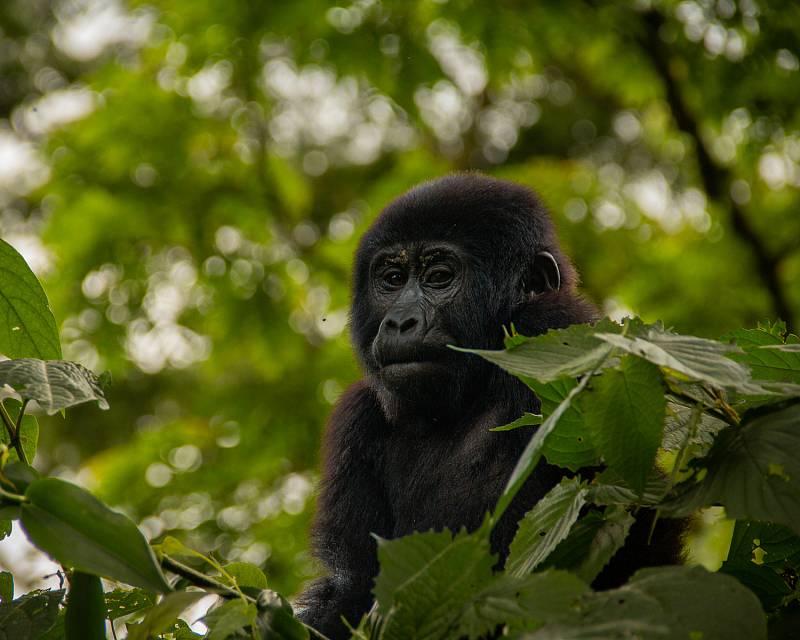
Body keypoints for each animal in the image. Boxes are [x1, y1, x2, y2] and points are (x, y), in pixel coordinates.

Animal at [296, 172, 684, 636]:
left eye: (439, 276)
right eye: (391, 278)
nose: (399, 322)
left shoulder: (557, 329)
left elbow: (628, 517)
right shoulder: (359, 417)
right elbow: (352, 588)